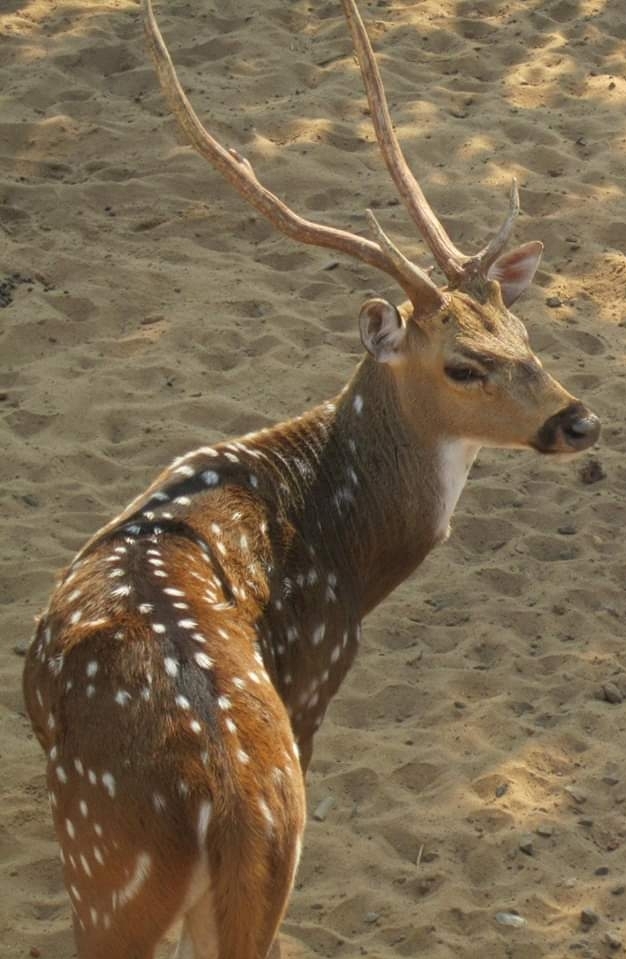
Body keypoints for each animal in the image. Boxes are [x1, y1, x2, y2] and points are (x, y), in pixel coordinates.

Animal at [22, 0, 601, 956]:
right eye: (464, 365)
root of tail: (223, 799)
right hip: (118, 861)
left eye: (525, 336)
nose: (579, 419)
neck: (351, 556)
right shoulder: (318, 675)